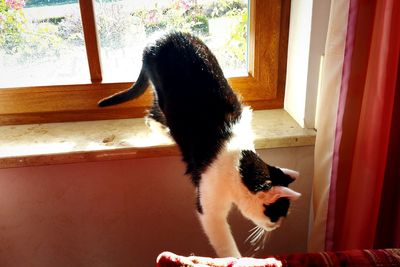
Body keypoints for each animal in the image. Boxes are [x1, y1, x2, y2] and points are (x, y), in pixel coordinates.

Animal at [98, 31, 302, 260]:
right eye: (277, 214)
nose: (277, 226)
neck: (239, 160)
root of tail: (162, 36)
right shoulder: (210, 205)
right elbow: (224, 243)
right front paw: (236, 260)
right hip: (161, 91)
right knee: (154, 112)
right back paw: (164, 130)